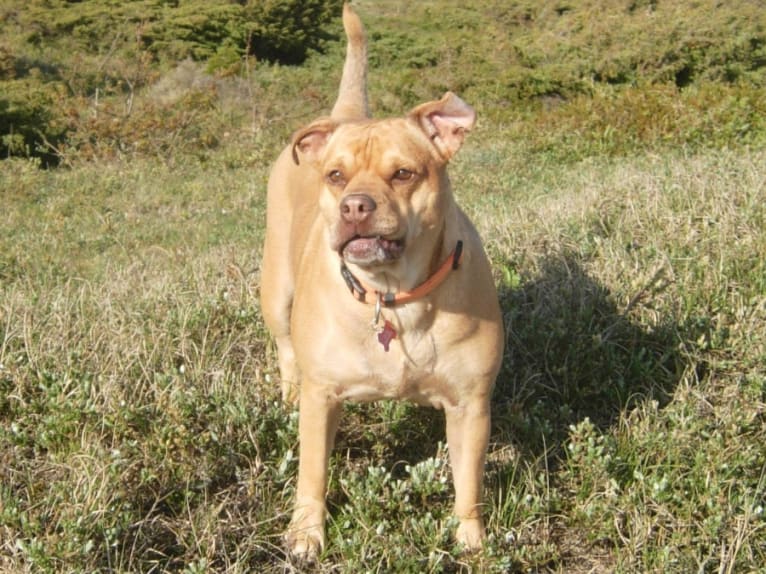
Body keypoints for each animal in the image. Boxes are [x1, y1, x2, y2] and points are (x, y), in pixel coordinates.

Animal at [260, 3, 508, 564]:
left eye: (403, 174)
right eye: (335, 176)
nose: (356, 206)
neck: (394, 297)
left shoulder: (470, 406)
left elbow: (469, 482)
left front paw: (471, 541)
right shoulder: (323, 398)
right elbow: (312, 473)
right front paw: (306, 534)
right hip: (275, 292)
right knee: (285, 350)